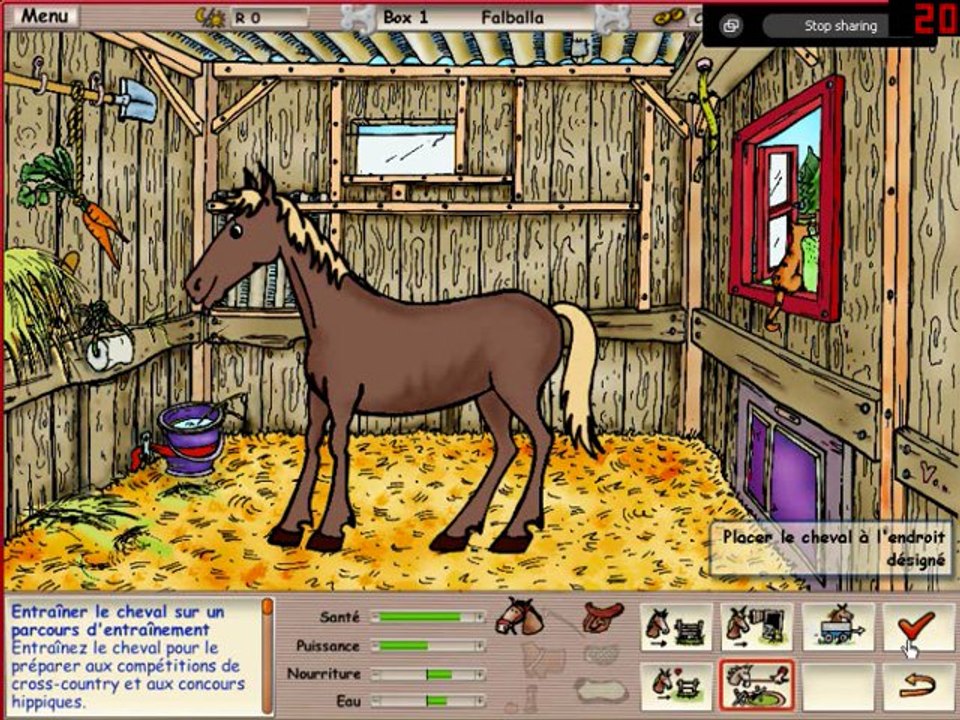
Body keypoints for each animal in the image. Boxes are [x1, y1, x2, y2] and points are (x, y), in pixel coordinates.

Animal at [185, 167, 603, 554]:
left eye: (237, 230)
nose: (194, 284)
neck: (335, 319)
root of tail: (550, 312)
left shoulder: (343, 398)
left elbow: (337, 446)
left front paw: (329, 530)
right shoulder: (318, 398)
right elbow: (312, 445)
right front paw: (289, 527)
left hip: (516, 392)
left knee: (542, 439)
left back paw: (514, 534)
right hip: (490, 397)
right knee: (507, 448)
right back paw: (457, 532)